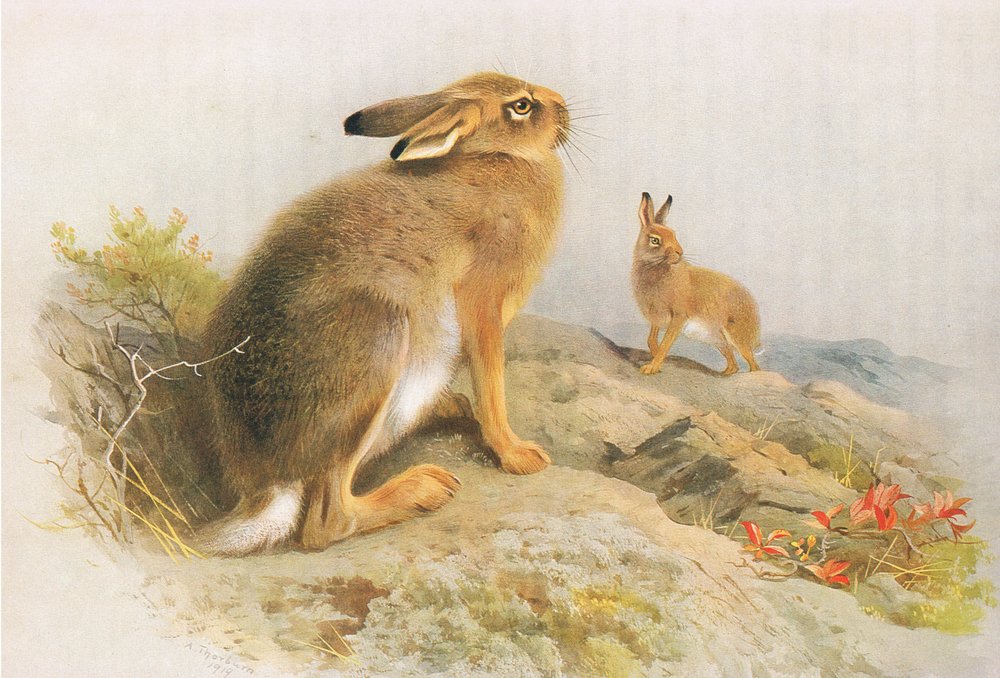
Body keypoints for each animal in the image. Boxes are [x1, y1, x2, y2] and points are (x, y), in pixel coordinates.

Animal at [199, 72, 570, 556]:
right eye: (522, 106)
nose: (563, 107)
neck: (499, 158)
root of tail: (268, 486)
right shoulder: (482, 298)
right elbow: (492, 381)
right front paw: (519, 455)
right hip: (379, 338)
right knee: (326, 523)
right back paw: (425, 488)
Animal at [631, 192, 761, 376]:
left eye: (674, 234)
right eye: (655, 240)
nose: (680, 252)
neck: (657, 268)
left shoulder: (678, 316)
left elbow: (665, 343)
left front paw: (651, 367)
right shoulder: (656, 317)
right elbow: (651, 340)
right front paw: (656, 362)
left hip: (735, 335)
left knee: (754, 365)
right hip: (717, 340)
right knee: (733, 363)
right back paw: (724, 374)